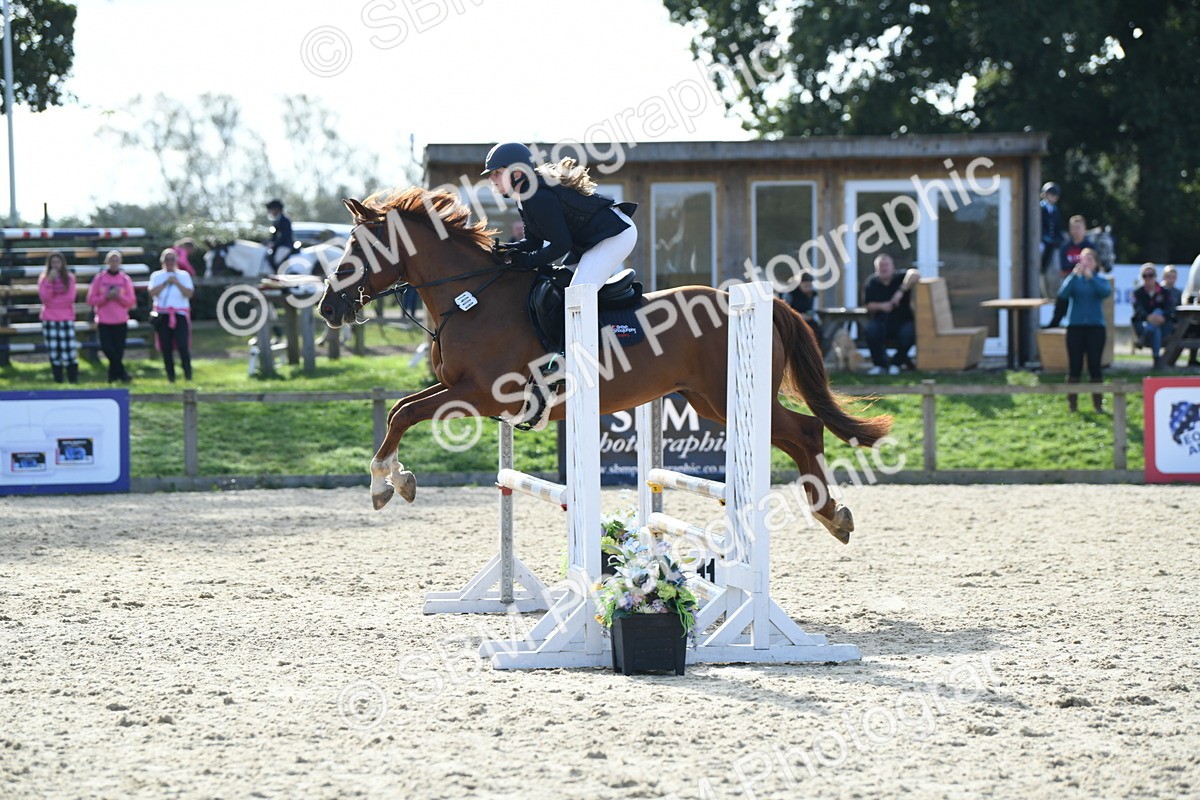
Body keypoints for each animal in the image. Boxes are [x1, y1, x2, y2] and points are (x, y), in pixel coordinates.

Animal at [317, 187, 892, 543]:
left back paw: (832, 513)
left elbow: (404, 415)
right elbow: (401, 408)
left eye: (359, 247)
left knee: (806, 430)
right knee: (797, 436)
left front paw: (383, 484)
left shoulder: (482, 394)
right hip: (708, 401)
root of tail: (760, 301)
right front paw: (398, 480)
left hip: (732, 398)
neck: (471, 297)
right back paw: (831, 514)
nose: (328, 308)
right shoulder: (459, 389)